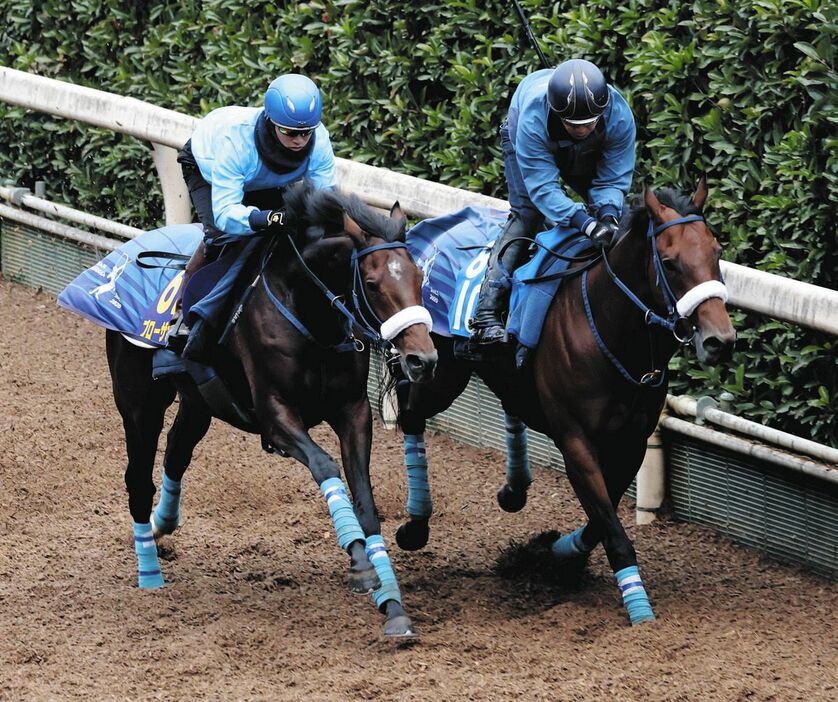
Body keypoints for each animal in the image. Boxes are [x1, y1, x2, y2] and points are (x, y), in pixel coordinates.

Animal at [105, 182, 440, 640]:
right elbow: (326, 466)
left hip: (199, 400)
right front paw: (360, 567)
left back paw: (162, 525)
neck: (309, 314)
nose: (422, 360)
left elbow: (366, 503)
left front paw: (392, 605)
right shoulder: (276, 416)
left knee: (177, 450)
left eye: (419, 277)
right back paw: (149, 571)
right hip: (139, 403)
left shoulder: (353, 412)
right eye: (371, 283)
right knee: (138, 478)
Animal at [394, 180, 736, 628]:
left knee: (507, 407)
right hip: (443, 373)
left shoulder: (632, 443)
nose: (719, 341)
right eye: (670, 262)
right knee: (410, 414)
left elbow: (600, 521)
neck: (611, 332)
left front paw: (551, 556)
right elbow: (610, 527)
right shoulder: (576, 442)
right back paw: (414, 526)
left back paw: (514, 490)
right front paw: (640, 612)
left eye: (716, 252)